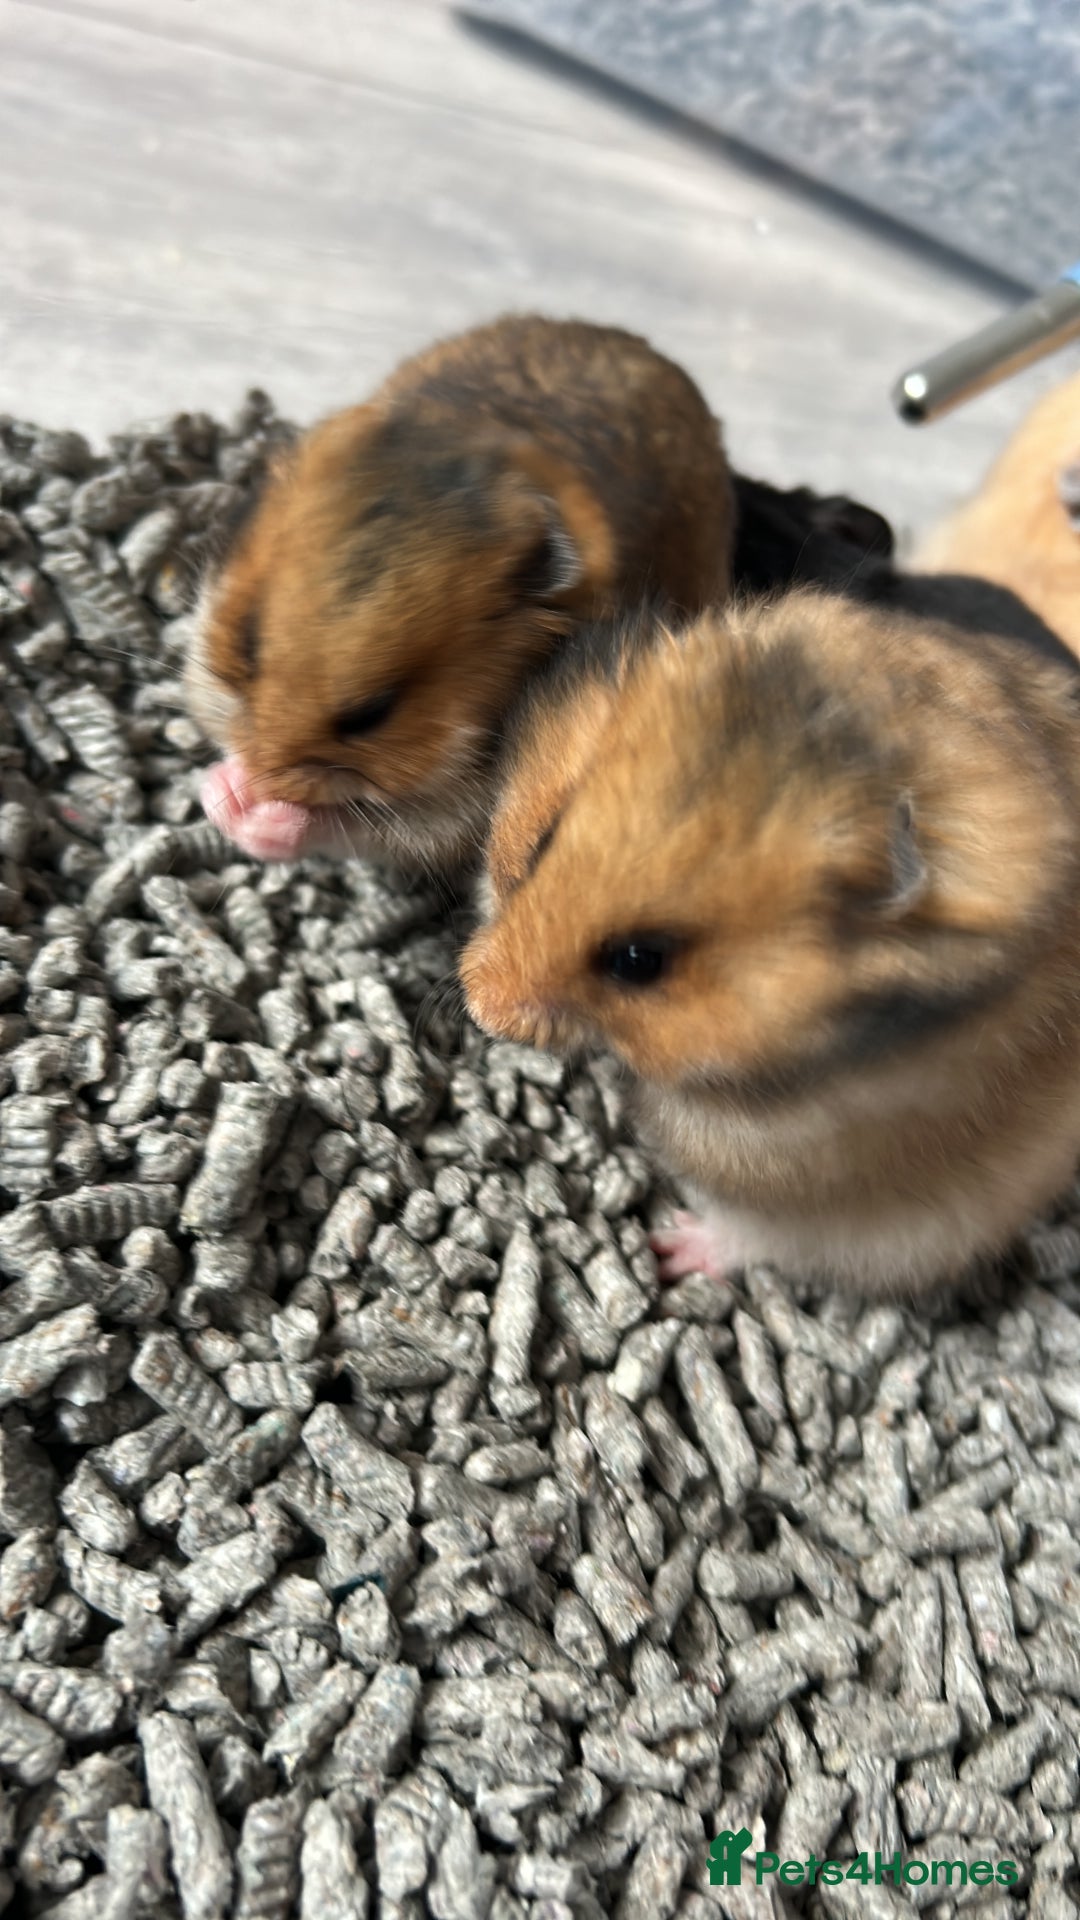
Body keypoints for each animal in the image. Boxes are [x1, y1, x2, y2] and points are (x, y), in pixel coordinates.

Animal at [187, 314, 736, 876]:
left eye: (373, 715)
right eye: (248, 646)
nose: (264, 779)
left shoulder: (474, 802)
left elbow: (364, 827)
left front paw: (258, 811)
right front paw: (226, 790)